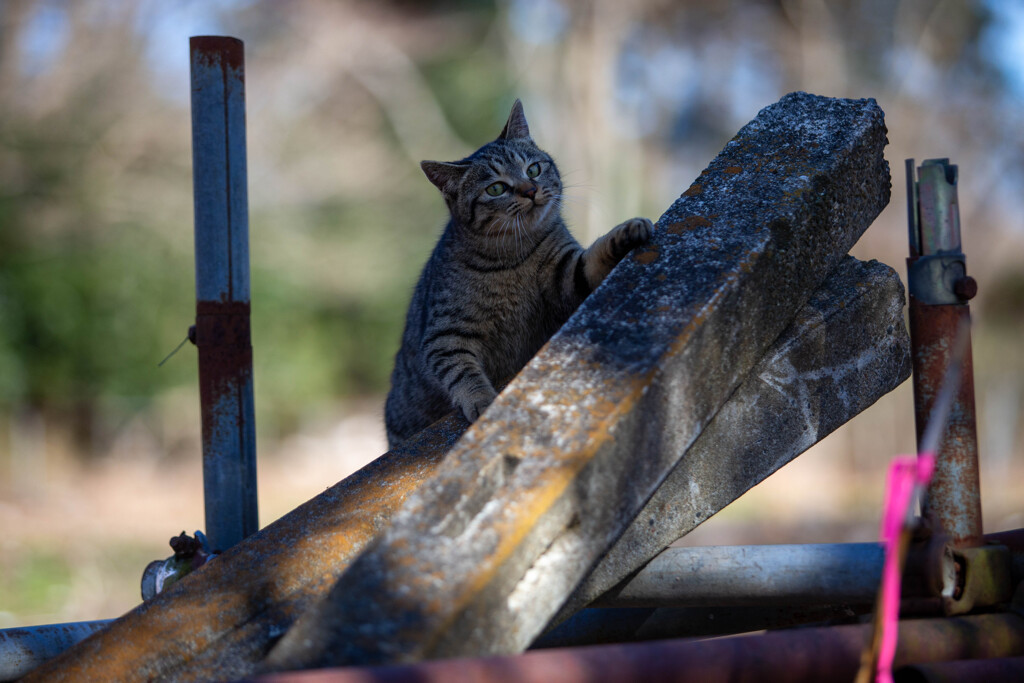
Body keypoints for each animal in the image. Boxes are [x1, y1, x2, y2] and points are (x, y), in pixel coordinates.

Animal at [385, 98, 655, 446]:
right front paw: (481, 400)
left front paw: (626, 231)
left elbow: (594, 258)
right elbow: (463, 373)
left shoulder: (566, 276)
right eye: (496, 188)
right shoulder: (445, 334)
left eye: (533, 169)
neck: (514, 259)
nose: (530, 190)